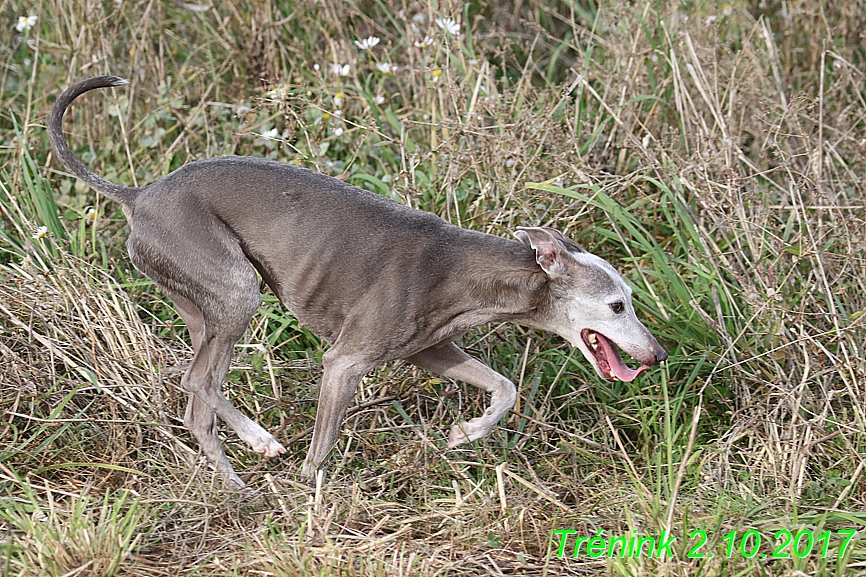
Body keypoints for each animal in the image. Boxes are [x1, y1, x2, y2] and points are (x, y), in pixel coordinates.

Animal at [49, 75, 668, 486]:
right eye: (617, 306)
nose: (658, 355)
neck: (465, 268)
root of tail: (139, 195)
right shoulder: (344, 362)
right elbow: (320, 450)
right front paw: (309, 494)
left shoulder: (430, 349)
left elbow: (505, 386)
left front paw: (467, 433)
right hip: (236, 290)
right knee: (197, 385)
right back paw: (248, 464)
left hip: (205, 307)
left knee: (194, 389)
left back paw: (248, 464)